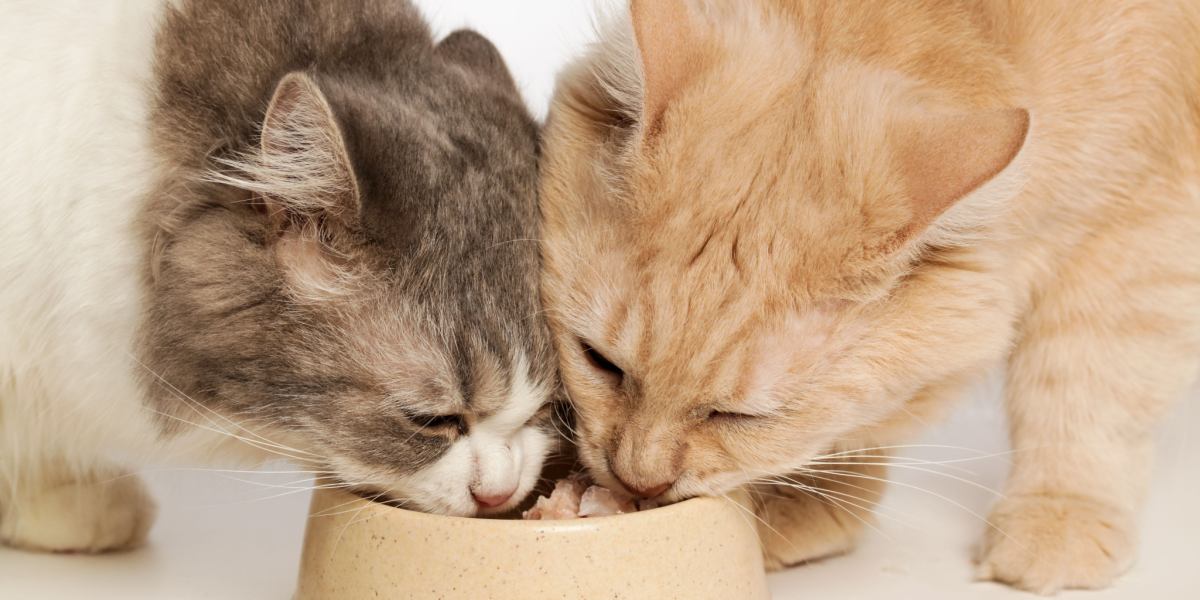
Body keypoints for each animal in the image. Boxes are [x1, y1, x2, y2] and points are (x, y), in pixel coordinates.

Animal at [542, 0, 1200, 590]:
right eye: (600, 362)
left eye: (743, 416)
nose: (638, 482)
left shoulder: (1141, 225)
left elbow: (1082, 384)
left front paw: (1060, 512)